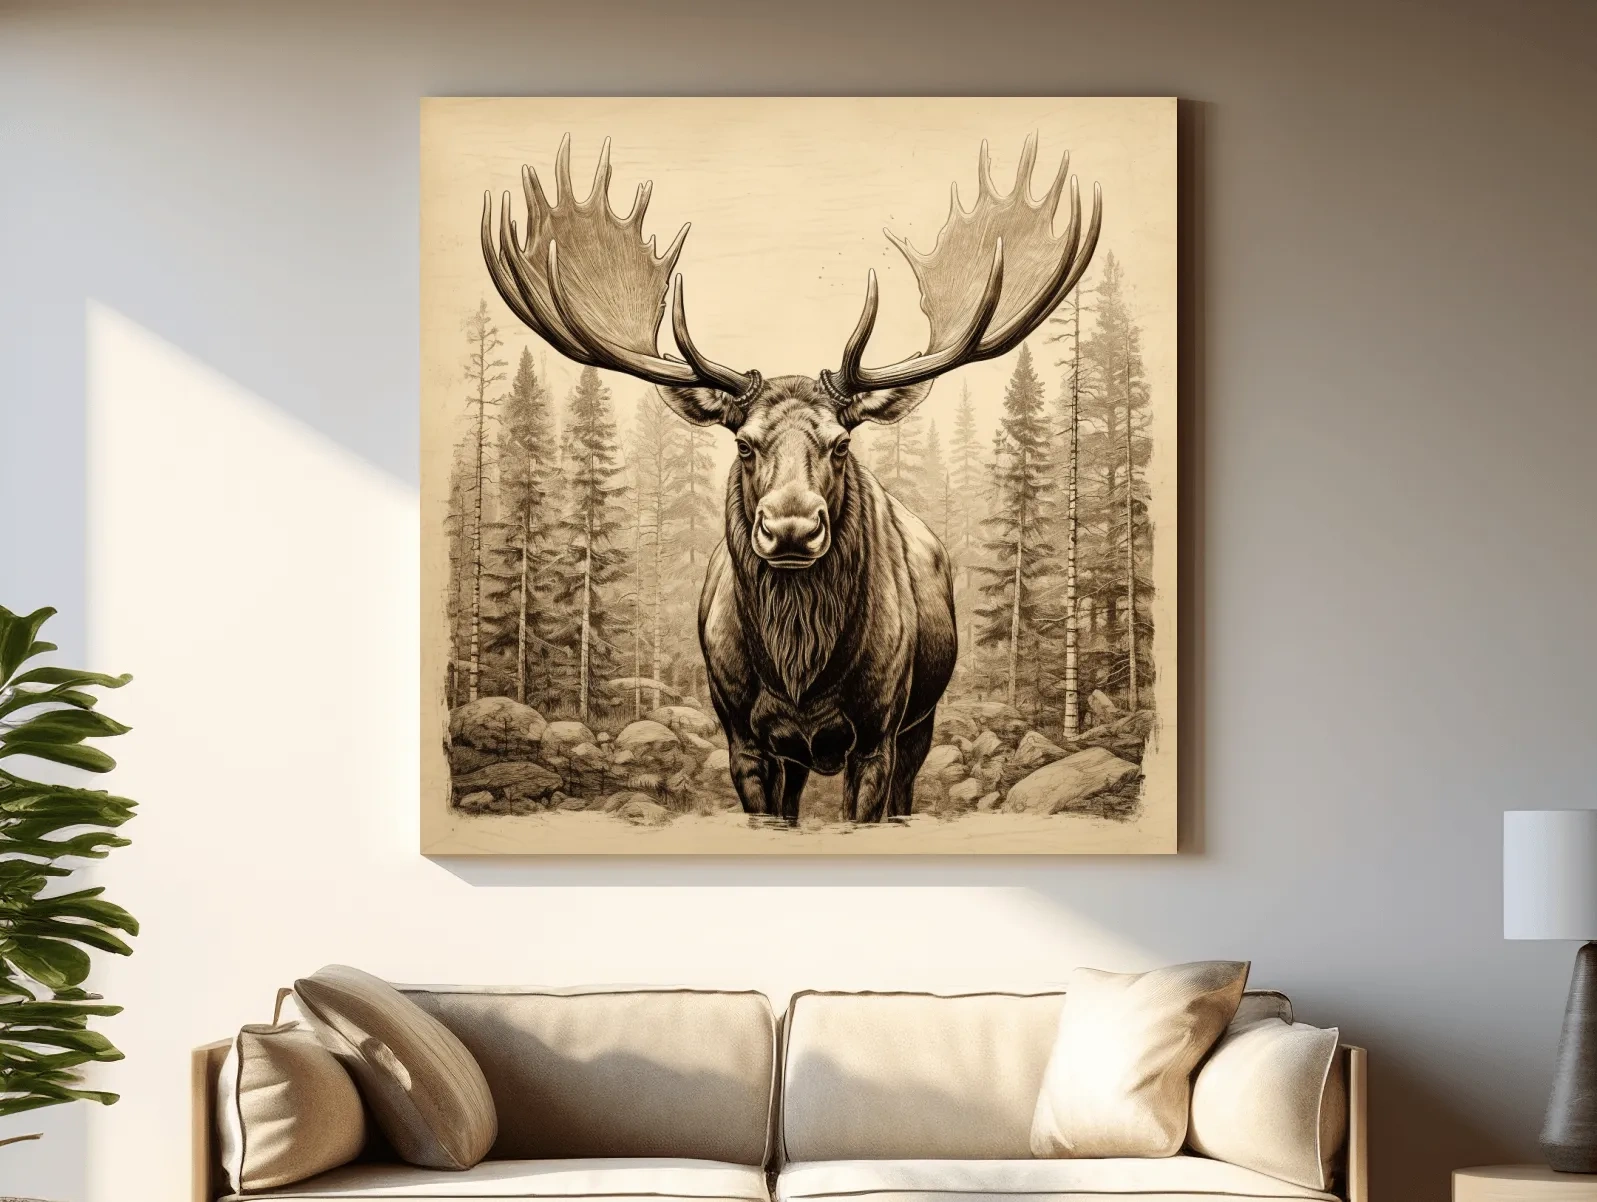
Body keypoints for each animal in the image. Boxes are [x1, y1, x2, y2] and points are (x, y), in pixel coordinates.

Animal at [481, 135, 1101, 824]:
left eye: (841, 443)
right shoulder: (743, 736)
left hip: (922, 720)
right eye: (744, 444)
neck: (799, 671)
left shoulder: (879, 732)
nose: (793, 529)